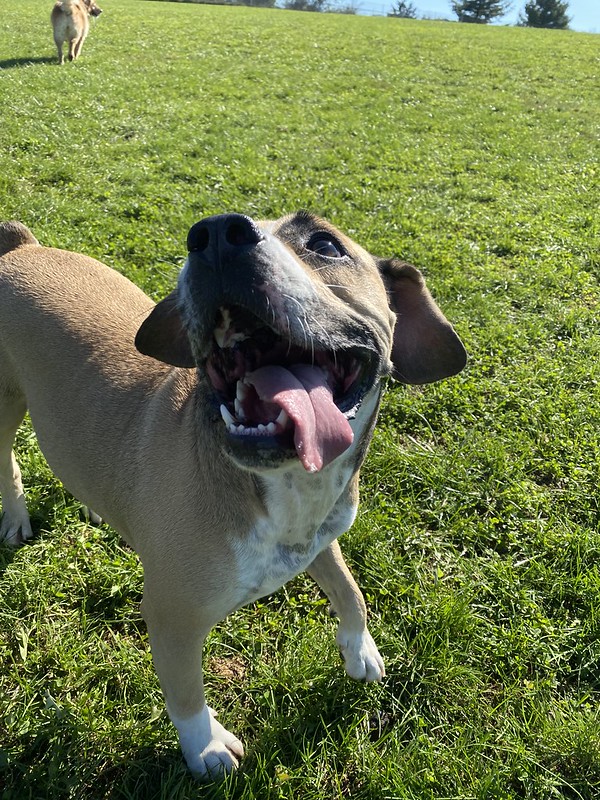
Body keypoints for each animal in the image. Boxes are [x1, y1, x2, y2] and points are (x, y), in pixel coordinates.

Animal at [0, 216, 464, 780]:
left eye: (325, 244)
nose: (217, 234)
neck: (282, 485)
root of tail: (22, 248)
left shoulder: (319, 539)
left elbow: (350, 589)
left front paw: (360, 650)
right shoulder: (172, 616)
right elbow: (184, 692)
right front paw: (204, 746)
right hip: (4, 404)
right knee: (7, 460)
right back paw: (15, 518)